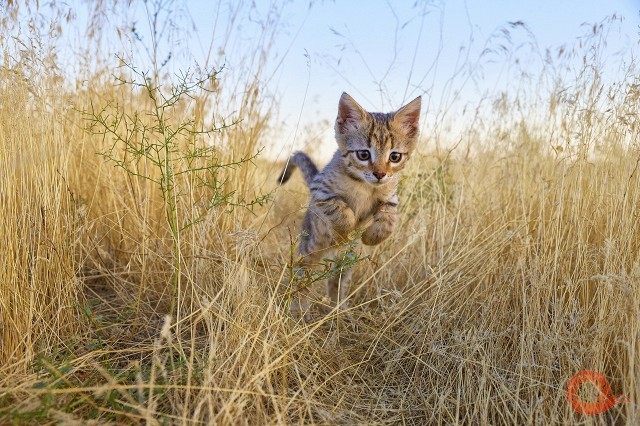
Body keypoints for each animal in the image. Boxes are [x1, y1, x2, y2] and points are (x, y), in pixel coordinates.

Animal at [278, 92, 420, 320]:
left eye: (394, 156)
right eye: (363, 154)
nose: (380, 174)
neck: (364, 186)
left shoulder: (390, 198)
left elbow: (389, 221)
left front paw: (372, 236)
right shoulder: (321, 191)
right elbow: (342, 210)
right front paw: (345, 231)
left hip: (346, 261)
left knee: (336, 282)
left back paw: (339, 309)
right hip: (310, 248)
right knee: (302, 275)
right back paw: (299, 308)